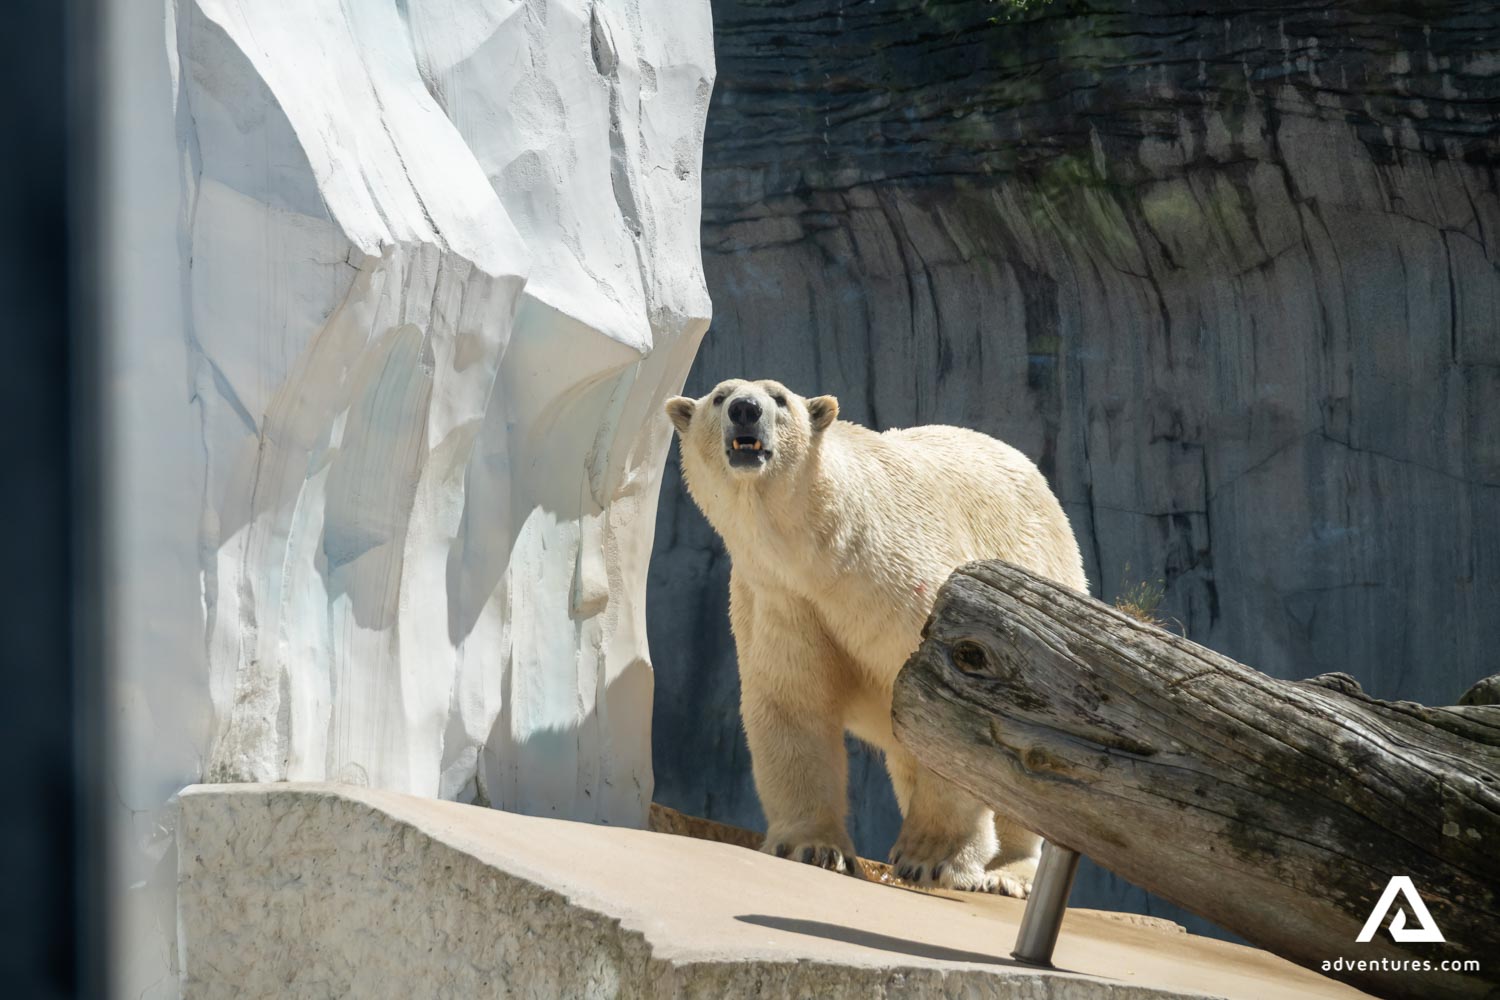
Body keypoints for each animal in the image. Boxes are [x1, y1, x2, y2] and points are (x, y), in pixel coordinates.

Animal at [664, 378, 1088, 896]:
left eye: (778, 398)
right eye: (721, 396)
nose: (746, 410)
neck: (823, 552)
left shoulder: (910, 584)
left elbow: (953, 710)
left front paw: (932, 858)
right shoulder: (780, 599)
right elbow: (792, 703)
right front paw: (813, 848)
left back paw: (1007, 872)